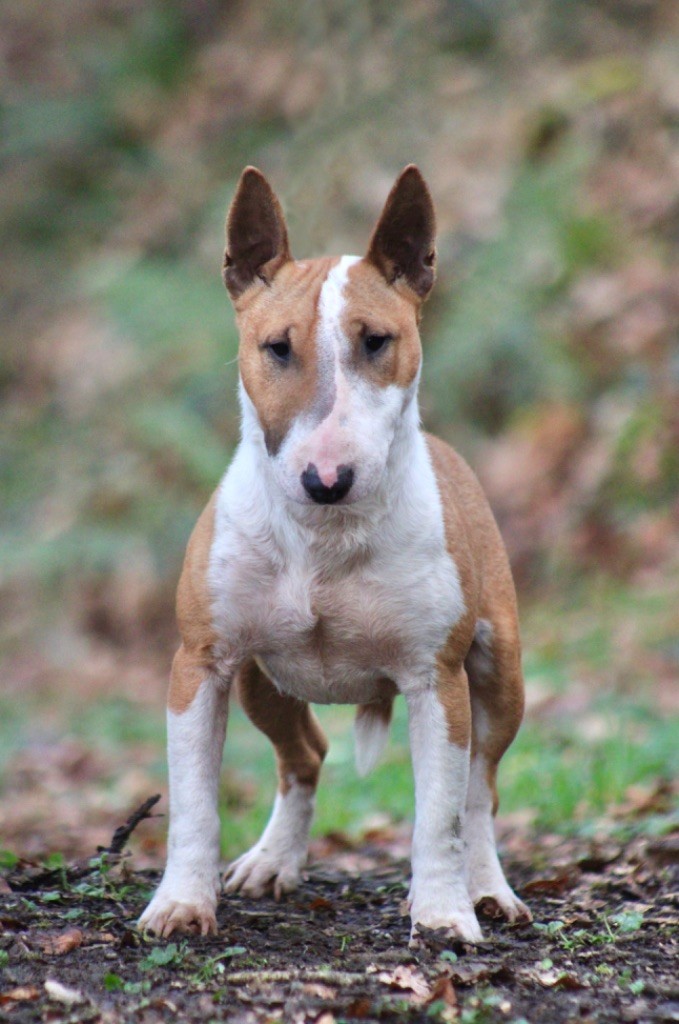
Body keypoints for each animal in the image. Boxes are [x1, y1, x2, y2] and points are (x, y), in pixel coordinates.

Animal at [139, 163, 532, 937]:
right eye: (276, 347)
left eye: (376, 340)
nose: (326, 479)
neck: (324, 537)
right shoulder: (201, 664)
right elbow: (194, 804)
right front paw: (181, 904)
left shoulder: (434, 679)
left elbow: (439, 813)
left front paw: (441, 913)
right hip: (262, 680)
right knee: (305, 755)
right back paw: (271, 862)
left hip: (499, 672)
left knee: (480, 789)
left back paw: (485, 889)